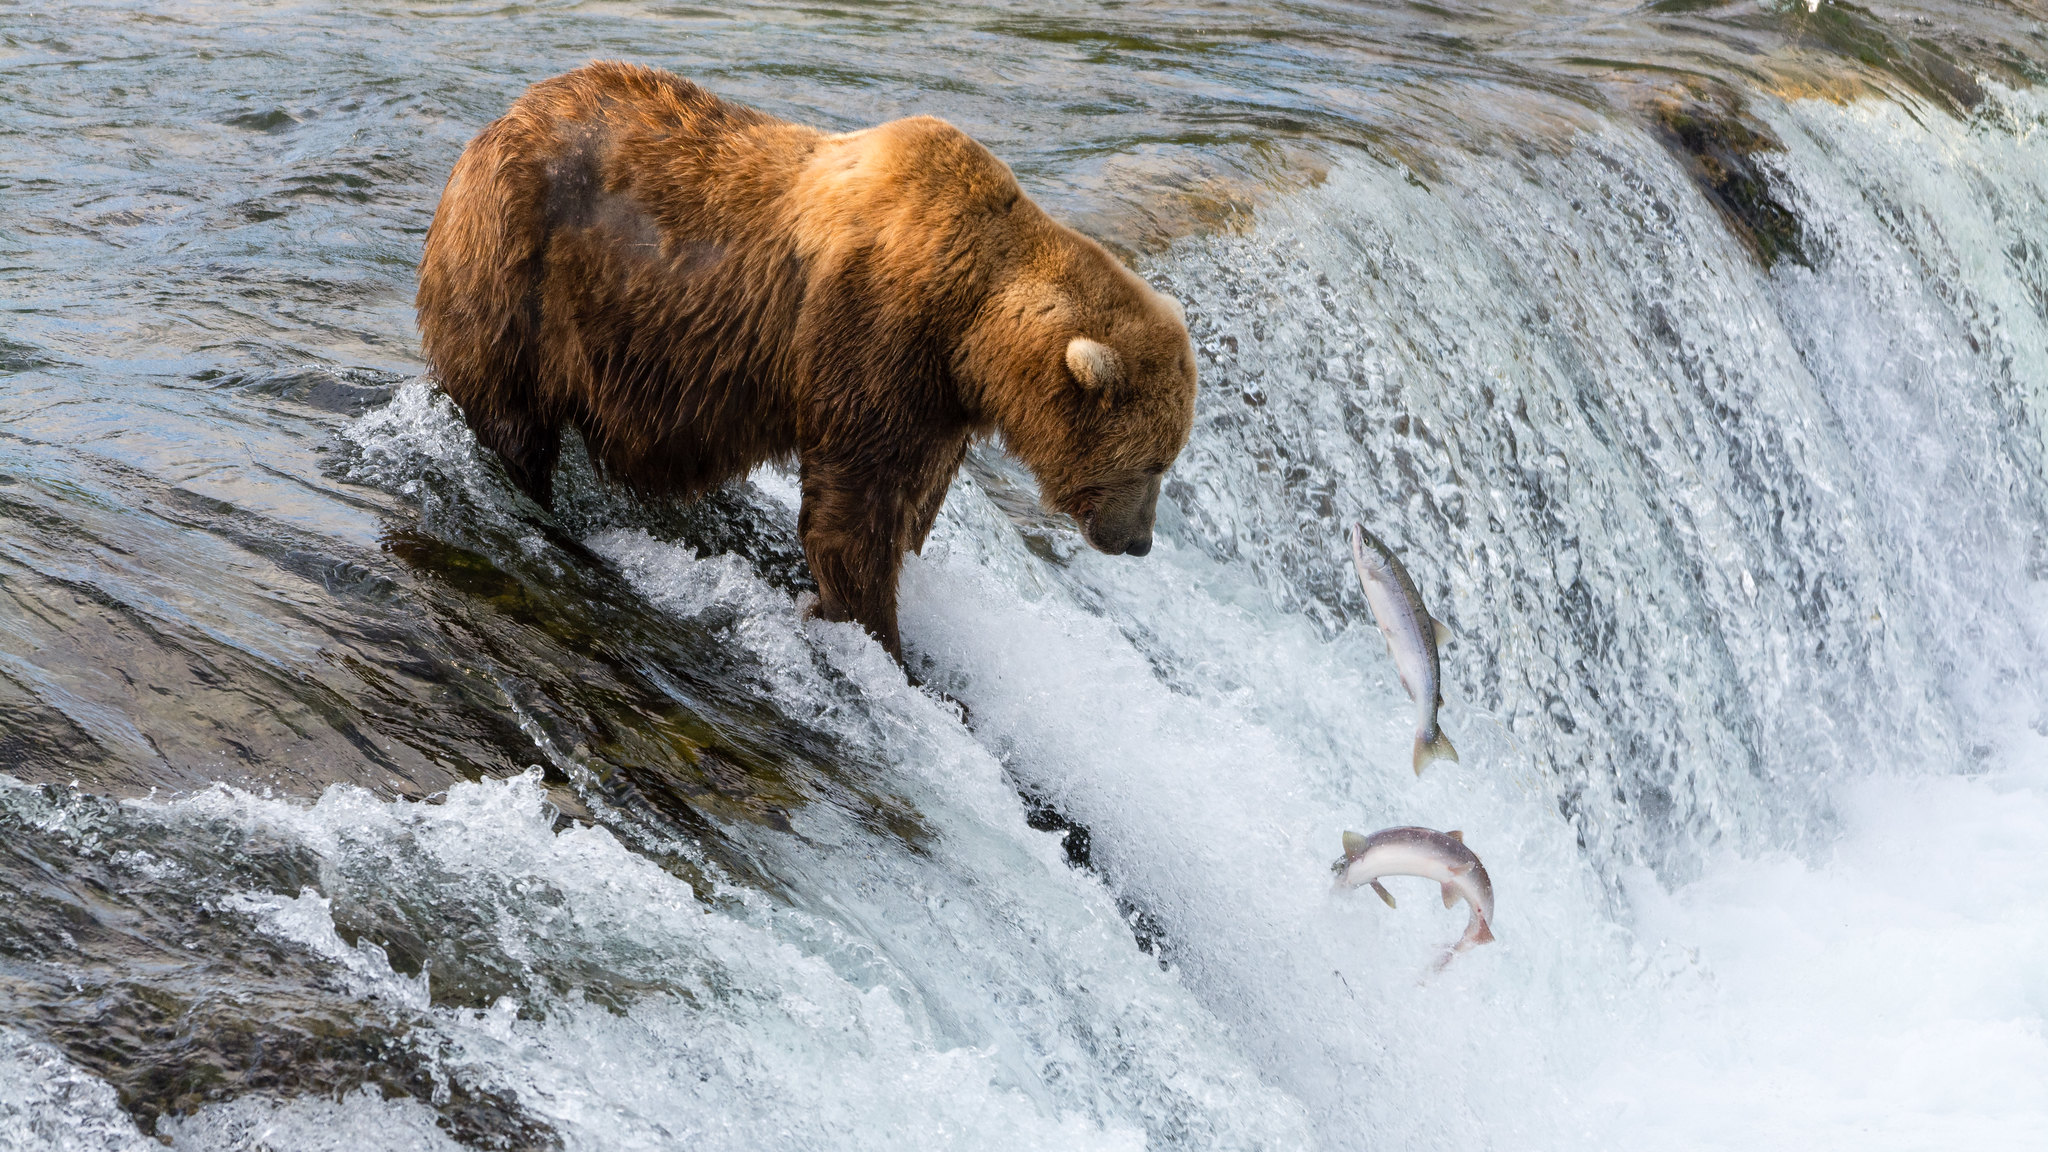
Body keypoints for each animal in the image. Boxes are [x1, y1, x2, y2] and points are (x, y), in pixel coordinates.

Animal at [417, 60, 1196, 655]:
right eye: (1155, 462)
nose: (1140, 541)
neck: (972, 326)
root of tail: (494, 124)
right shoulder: (875, 334)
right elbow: (855, 514)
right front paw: (880, 636)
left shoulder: (938, 402)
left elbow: (912, 504)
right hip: (520, 268)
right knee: (511, 414)